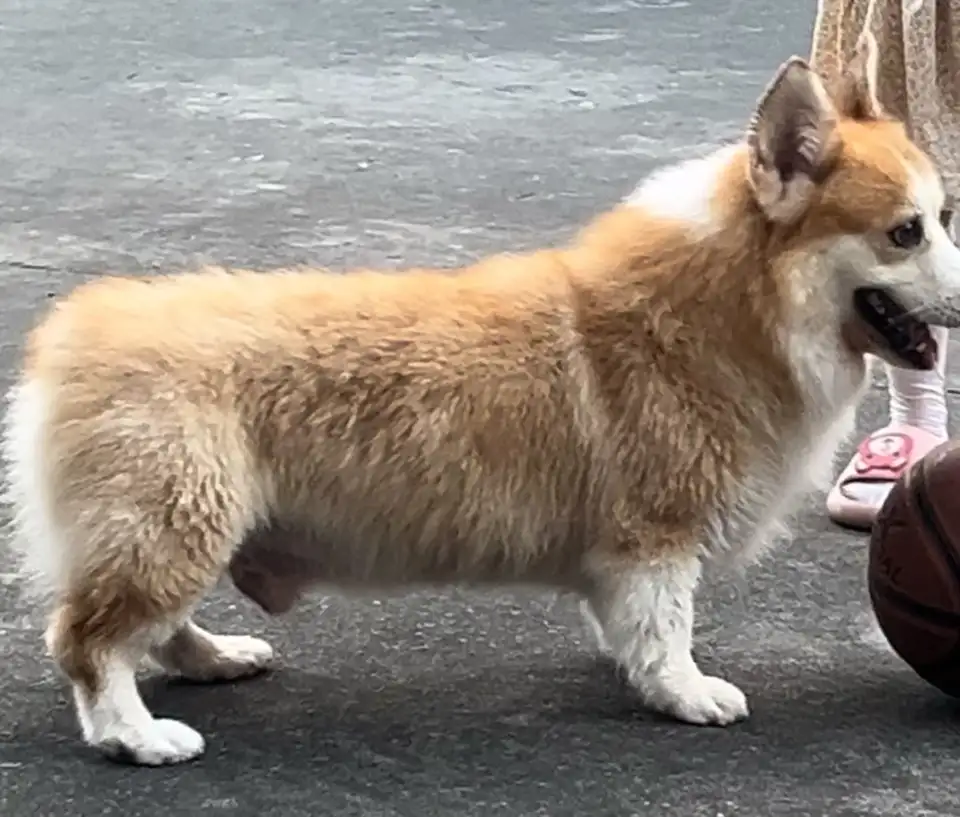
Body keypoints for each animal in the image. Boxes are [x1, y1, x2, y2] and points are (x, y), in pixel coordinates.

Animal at [1, 36, 960, 764]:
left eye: (940, 218)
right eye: (905, 231)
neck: (738, 300)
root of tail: (68, 339)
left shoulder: (627, 550)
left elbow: (630, 619)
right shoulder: (656, 534)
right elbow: (665, 625)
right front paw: (684, 692)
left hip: (188, 526)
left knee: (154, 628)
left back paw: (214, 657)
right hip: (176, 518)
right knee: (89, 640)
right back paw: (137, 735)